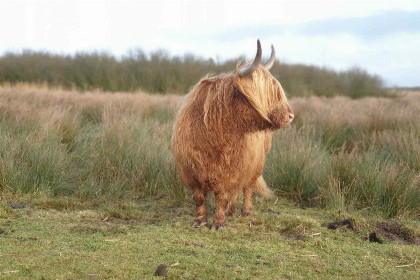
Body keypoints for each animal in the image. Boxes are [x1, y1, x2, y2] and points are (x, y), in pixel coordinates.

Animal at [169, 40, 294, 230]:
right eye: (264, 93)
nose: (290, 115)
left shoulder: (229, 172)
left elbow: (221, 196)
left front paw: (218, 223)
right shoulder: (191, 170)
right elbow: (199, 198)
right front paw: (199, 220)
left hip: (256, 164)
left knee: (248, 187)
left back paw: (245, 211)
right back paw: (231, 210)